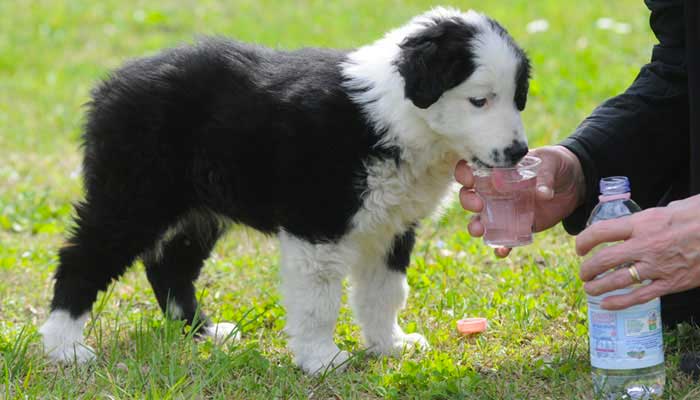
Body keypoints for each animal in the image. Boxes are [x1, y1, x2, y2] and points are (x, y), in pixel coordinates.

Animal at [39, 7, 532, 374]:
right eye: (479, 100)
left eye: (518, 97)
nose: (519, 152)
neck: (396, 117)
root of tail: (110, 87)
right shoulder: (318, 225)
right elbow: (318, 301)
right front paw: (322, 359)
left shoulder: (391, 226)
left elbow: (384, 292)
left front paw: (389, 344)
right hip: (134, 195)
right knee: (83, 258)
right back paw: (64, 346)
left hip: (198, 210)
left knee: (170, 266)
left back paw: (200, 331)